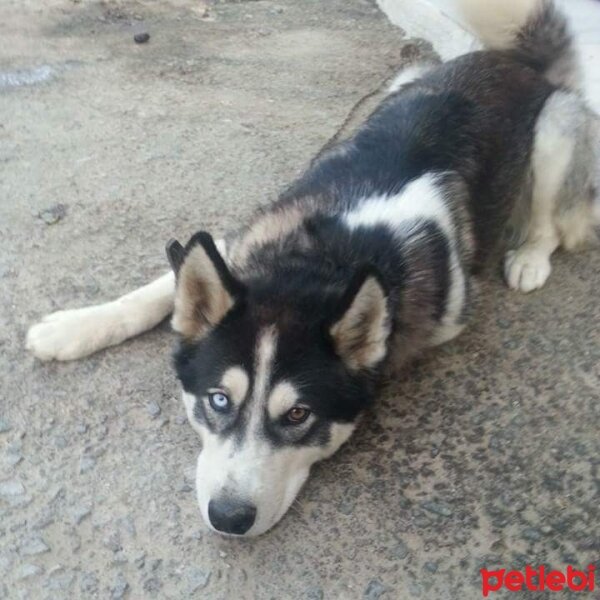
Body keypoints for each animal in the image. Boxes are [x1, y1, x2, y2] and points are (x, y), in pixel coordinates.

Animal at [28, 0, 600, 536]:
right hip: (404, 81)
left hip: (555, 130)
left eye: (298, 415)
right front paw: (70, 328)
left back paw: (530, 258)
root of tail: (512, 60)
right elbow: (154, 289)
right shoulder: (245, 240)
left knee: (551, 218)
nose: (228, 517)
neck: (326, 258)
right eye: (218, 399)